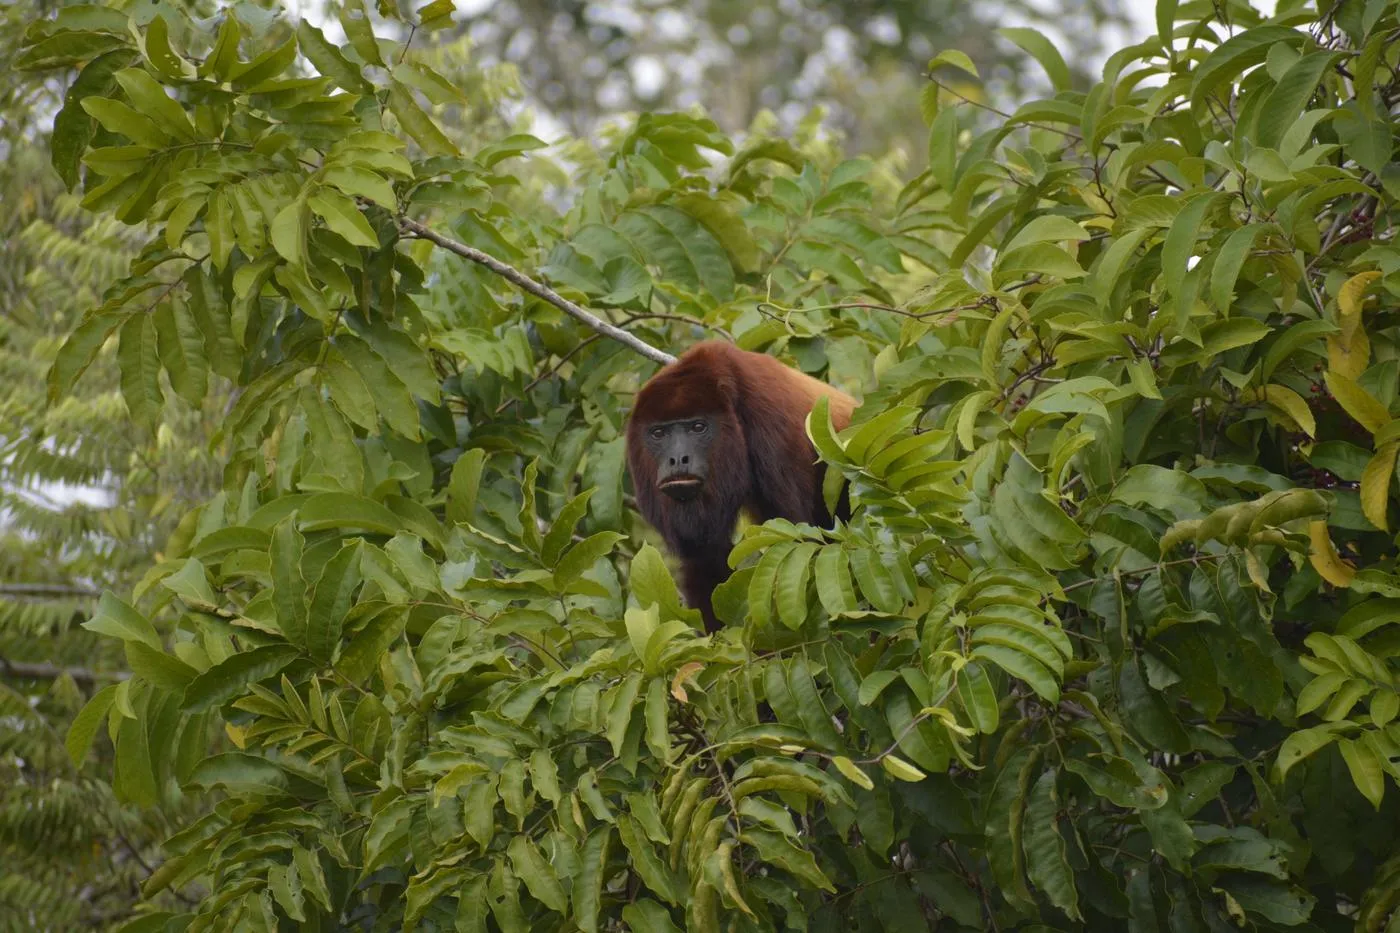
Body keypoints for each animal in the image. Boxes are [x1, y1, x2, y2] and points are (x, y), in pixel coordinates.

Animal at [625, 341, 857, 631]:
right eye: (659, 433)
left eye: (698, 427)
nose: (678, 459)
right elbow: (705, 556)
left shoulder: (770, 425)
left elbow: (793, 531)